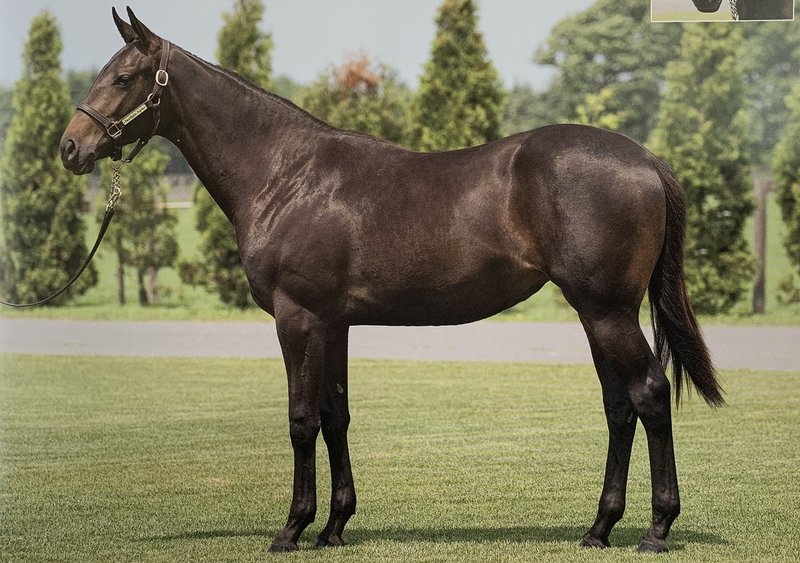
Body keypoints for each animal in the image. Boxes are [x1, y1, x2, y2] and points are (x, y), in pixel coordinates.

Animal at [60, 8, 723, 554]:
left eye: (124, 78)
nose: (70, 147)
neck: (286, 174)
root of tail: (644, 158)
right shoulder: (333, 323)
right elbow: (335, 415)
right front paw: (333, 526)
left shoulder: (297, 317)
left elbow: (301, 419)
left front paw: (292, 528)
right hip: (597, 313)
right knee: (619, 406)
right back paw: (599, 527)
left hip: (607, 311)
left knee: (649, 394)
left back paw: (657, 529)